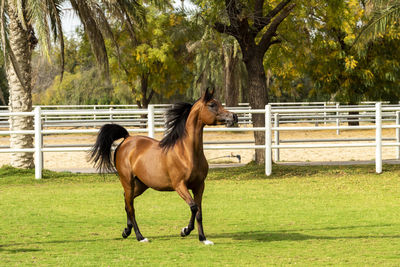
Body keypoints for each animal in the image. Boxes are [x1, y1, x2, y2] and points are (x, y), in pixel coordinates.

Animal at [89, 89, 238, 246]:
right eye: (212, 105)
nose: (234, 116)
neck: (186, 153)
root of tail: (127, 139)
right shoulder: (180, 185)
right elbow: (193, 207)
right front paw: (185, 231)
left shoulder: (199, 186)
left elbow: (199, 212)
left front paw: (202, 238)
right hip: (128, 181)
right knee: (131, 207)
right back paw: (140, 237)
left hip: (141, 185)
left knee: (126, 202)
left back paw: (126, 231)